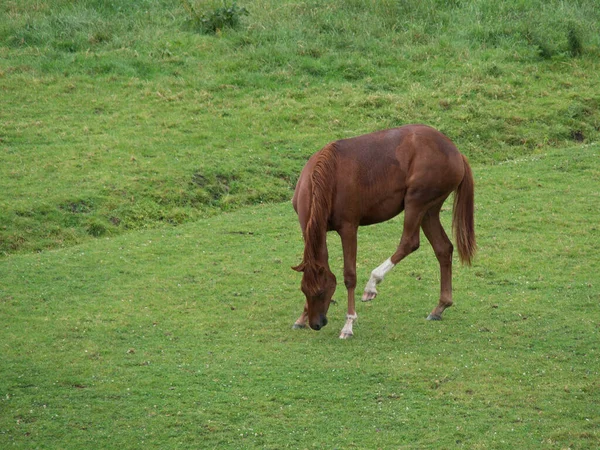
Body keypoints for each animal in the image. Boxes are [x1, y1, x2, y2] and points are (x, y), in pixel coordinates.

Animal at [292, 125, 476, 340]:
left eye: (322, 292)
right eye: (305, 291)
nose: (316, 324)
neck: (325, 178)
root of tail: (455, 151)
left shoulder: (348, 228)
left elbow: (349, 276)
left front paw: (348, 324)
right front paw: (301, 317)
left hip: (416, 202)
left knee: (409, 242)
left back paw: (372, 284)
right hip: (429, 211)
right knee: (443, 248)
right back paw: (440, 307)